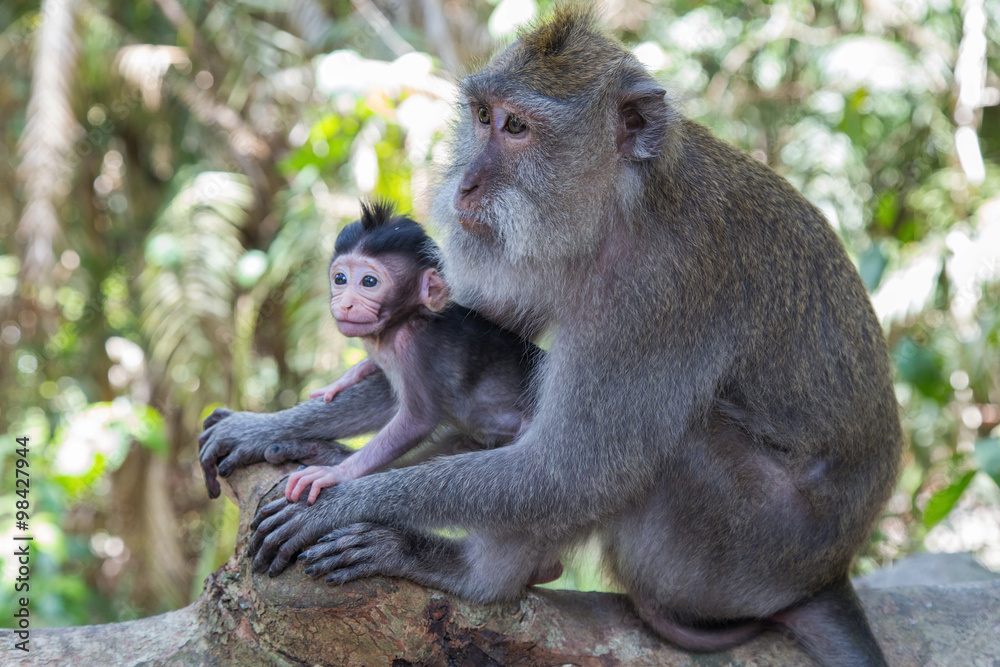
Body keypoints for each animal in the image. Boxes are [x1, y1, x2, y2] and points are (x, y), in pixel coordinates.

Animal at [278, 201, 540, 506]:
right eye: (340, 278)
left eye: (369, 282)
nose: (345, 304)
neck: (399, 324)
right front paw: (346, 379)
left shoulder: (414, 348)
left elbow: (418, 421)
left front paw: (336, 473)